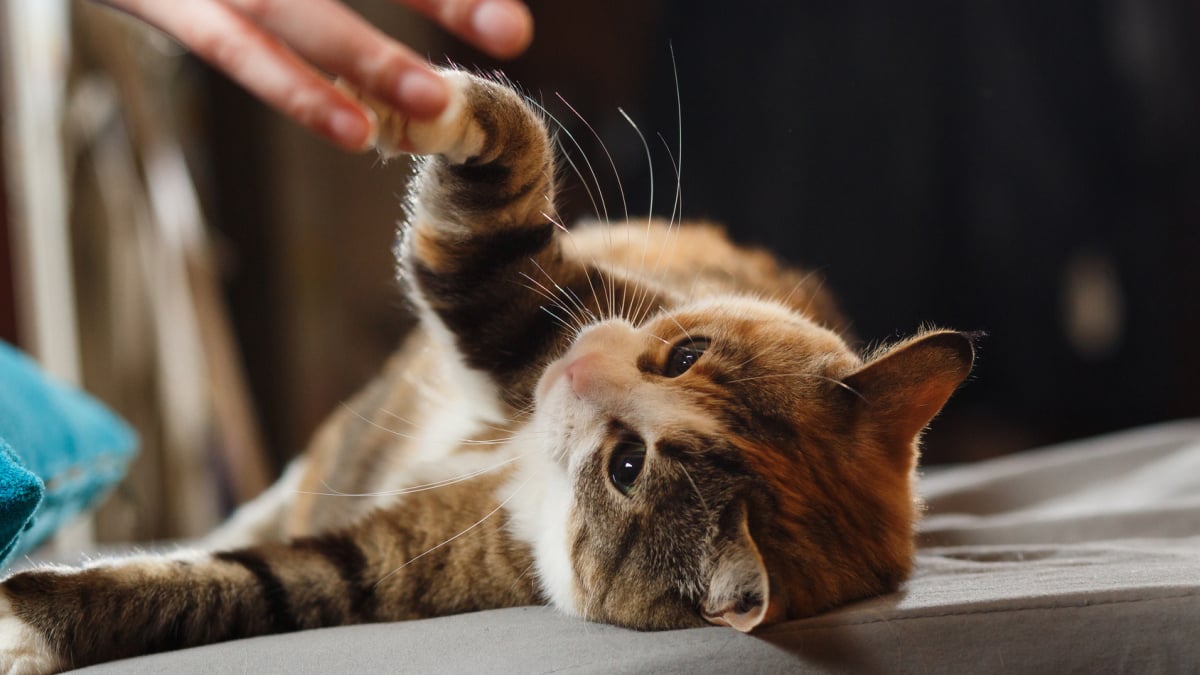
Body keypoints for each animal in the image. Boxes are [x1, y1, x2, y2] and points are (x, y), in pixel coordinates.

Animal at [0, 68, 974, 667]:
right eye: (684, 352)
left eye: (627, 467)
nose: (574, 370)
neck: (522, 452)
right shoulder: (543, 307)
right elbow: (492, 209)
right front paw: (410, 99)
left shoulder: (403, 562)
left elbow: (246, 582)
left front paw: (24, 627)